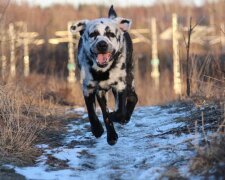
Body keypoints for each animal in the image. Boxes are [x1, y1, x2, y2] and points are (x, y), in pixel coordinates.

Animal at [70, 5, 137, 146]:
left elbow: (118, 112)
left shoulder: (120, 86)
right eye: (93, 34)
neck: (103, 72)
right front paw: (100, 130)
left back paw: (125, 117)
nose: (102, 44)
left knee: (133, 98)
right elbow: (92, 111)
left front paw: (115, 117)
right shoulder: (90, 89)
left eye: (111, 34)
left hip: (129, 78)